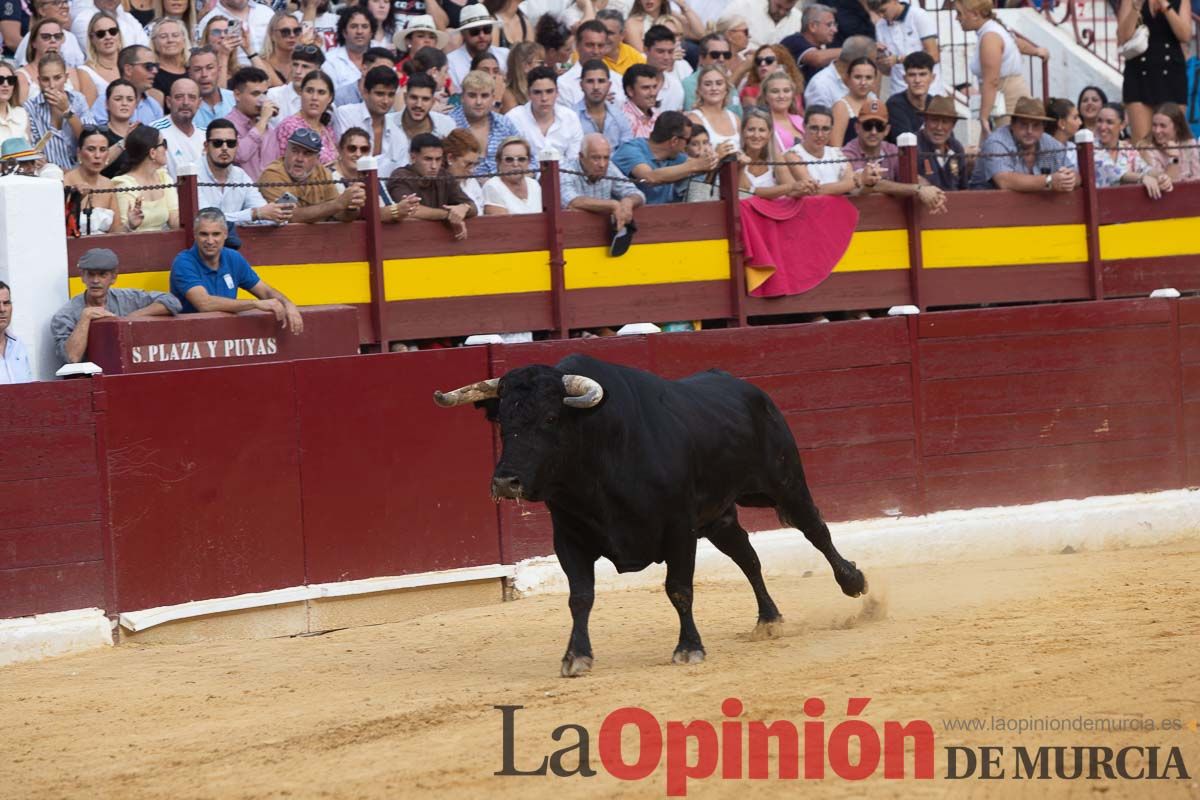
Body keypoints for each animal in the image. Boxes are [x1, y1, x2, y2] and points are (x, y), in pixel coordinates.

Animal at [436, 355, 868, 676]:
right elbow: (581, 596)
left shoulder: (679, 530)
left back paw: (853, 582)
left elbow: (679, 588)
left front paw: (689, 648)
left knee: (815, 529)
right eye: (503, 423)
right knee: (748, 558)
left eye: (550, 418)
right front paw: (576, 657)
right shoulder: (569, 538)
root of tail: (748, 388)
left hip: (784, 484)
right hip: (720, 517)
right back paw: (768, 619)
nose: (505, 481)